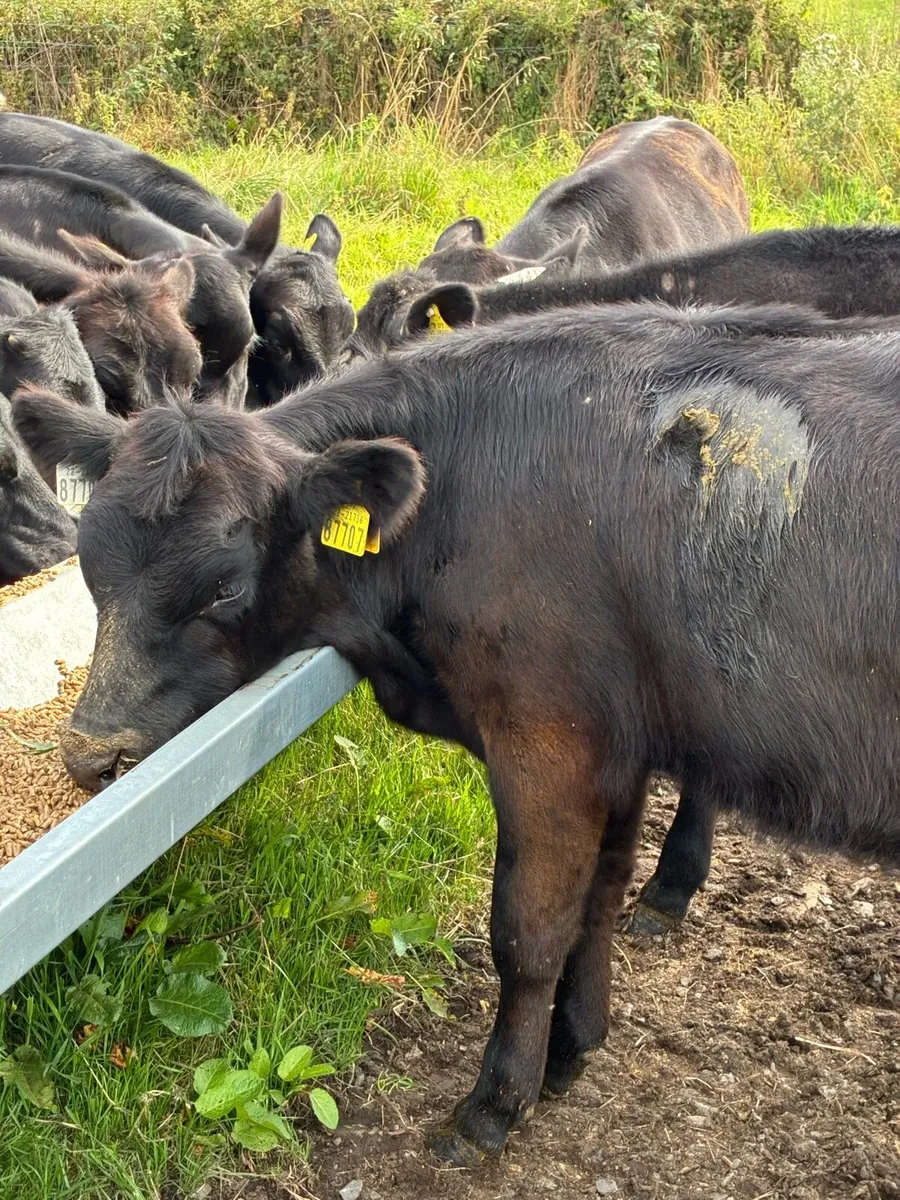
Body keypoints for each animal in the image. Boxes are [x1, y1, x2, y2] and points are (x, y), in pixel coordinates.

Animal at [14, 301, 900, 1165]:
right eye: (89, 566)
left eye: (226, 587)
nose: (90, 753)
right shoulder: (617, 744)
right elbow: (599, 895)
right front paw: (573, 1049)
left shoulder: (546, 740)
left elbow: (528, 931)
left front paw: (493, 1107)